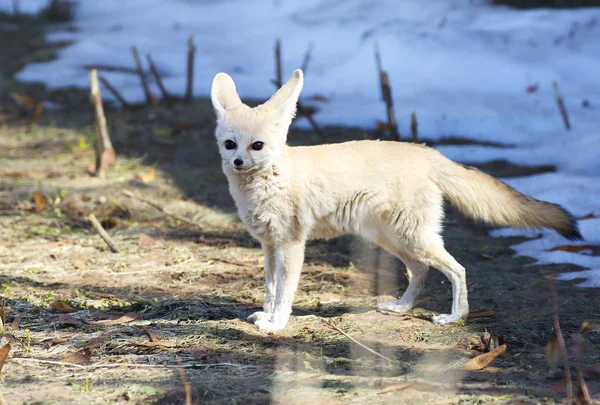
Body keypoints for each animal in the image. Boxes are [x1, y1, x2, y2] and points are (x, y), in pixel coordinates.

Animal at [210, 68, 580, 330]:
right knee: (421, 271)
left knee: (457, 269)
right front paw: (266, 316)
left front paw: (277, 325)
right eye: (231, 144)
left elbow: (284, 293)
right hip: (393, 239)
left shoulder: (291, 245)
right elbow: (270, 290)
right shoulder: (269, 245)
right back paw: (402, 308)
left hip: (412, 238)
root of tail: (425, 151)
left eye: (256, 146)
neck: (273, 179)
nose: (237, 162)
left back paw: (456, 317)